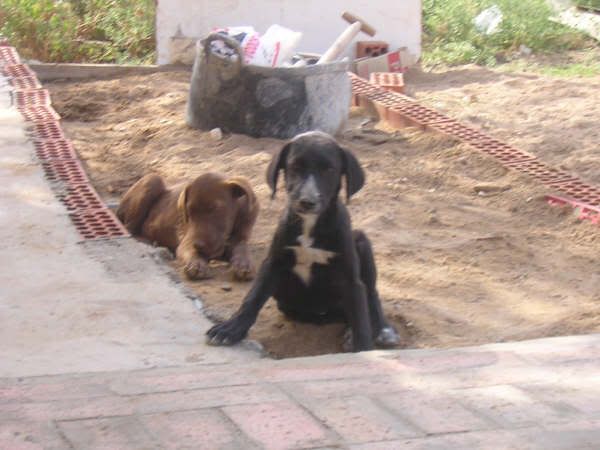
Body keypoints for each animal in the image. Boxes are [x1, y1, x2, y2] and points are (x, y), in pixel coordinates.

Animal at [116, 173, 258, 282]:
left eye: (215, 208)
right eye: (189, 211)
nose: (198, 245)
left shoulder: (241, 238)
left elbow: (242, 249)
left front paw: (244, 264)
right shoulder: (187, 241)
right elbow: (191, 251)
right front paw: (196, 265)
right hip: (153, 180)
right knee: (130, 229)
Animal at [206, 130, 398, 352]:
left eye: (329, 170)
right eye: (295, 167)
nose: (307, 202)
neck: (309, 226)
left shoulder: (350, 277)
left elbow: (360, 317)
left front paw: (362, 347)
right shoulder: (273, 263)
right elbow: (252, 298)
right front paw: (230, 329)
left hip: (361, 241)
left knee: (371, 295)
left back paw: (382, 330)